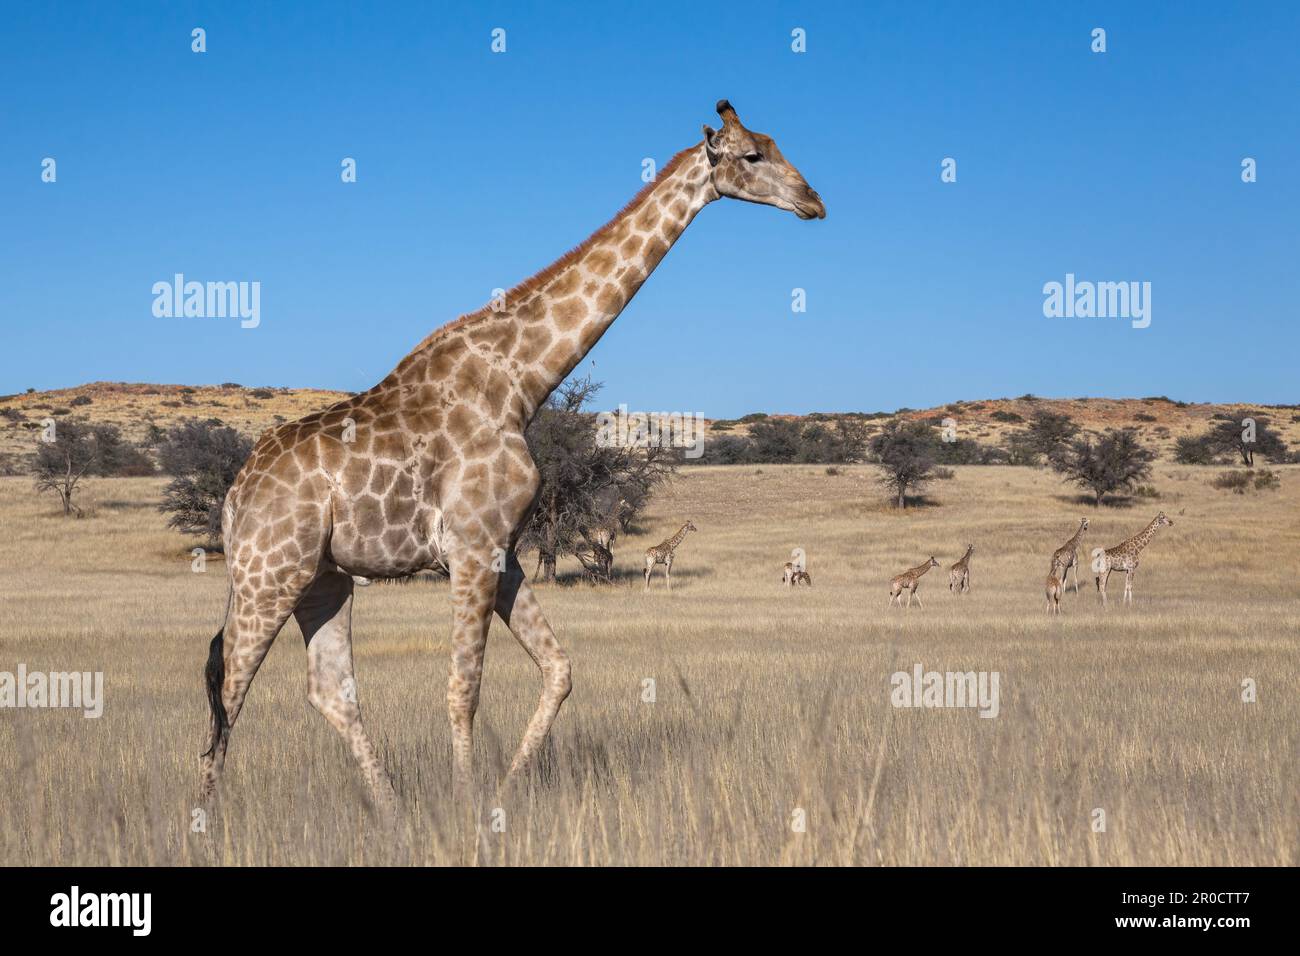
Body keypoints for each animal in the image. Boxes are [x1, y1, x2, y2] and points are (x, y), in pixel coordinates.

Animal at [197, 100, 825, 809]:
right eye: (752, 155)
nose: (814, 201)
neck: (522, 380)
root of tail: (234, 497)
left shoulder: (507, 550)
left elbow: (560, 670)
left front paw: (510, 782)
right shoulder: (472, 547)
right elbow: (463, 688)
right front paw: (471, 803)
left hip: (322, 579)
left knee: (329, 690)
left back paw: (391, 808)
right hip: (268, 574)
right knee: (228, 689)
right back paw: (207, 817)